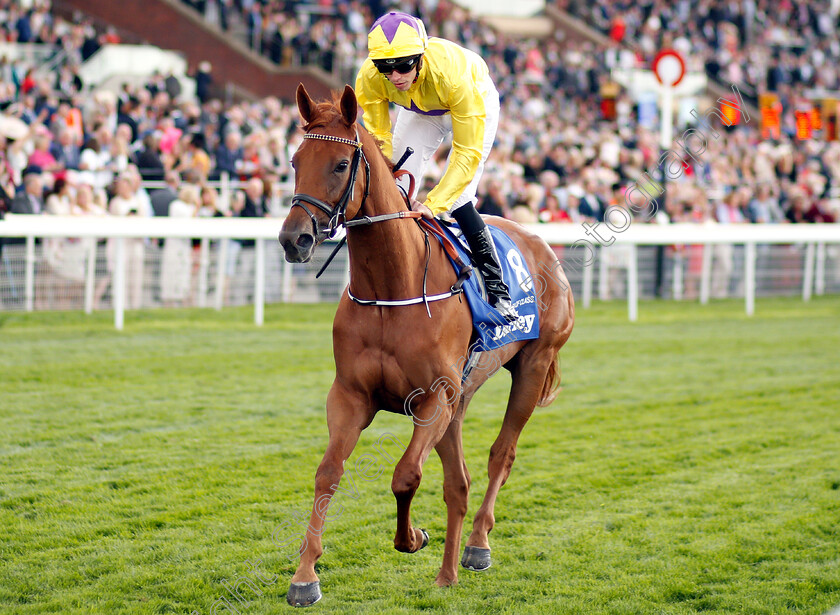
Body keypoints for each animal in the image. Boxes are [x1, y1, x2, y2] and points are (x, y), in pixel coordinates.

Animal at [278, 85, 576, 608]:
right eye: (295, 160)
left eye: (340, 163)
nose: (295, 239)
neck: (389, 288)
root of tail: (543, 245)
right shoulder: (352, 396)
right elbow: (327, 472)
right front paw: (304, 577)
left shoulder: (433, 397)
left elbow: (405, 475)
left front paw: (412, 537)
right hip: (462, 396)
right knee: (459, 482)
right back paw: (448, 573)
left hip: (532, 366)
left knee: (501, 455)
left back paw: (476, 546)